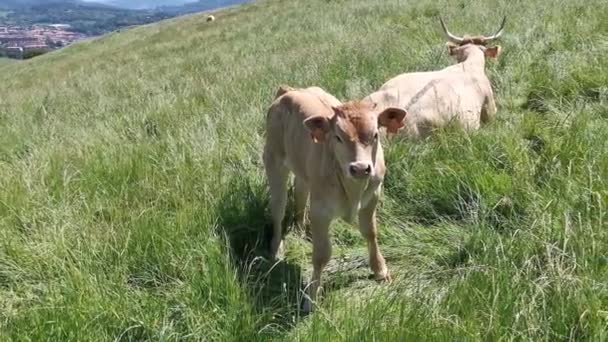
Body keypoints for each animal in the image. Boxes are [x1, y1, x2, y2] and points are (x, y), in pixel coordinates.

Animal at [264, 86, 406, 312]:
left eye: (375, 134)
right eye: (338, 137)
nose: (360, 168)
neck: (353, 188)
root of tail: (291, 90)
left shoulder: (372, 197)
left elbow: (371, 233)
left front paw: (380, 270)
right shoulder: (320, 210)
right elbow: (322, 254)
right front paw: (311, 296)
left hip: (303, 171)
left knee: (301, 192)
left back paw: (301, 229)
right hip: (274, 162)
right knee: (278, 210)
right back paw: (277, 248)